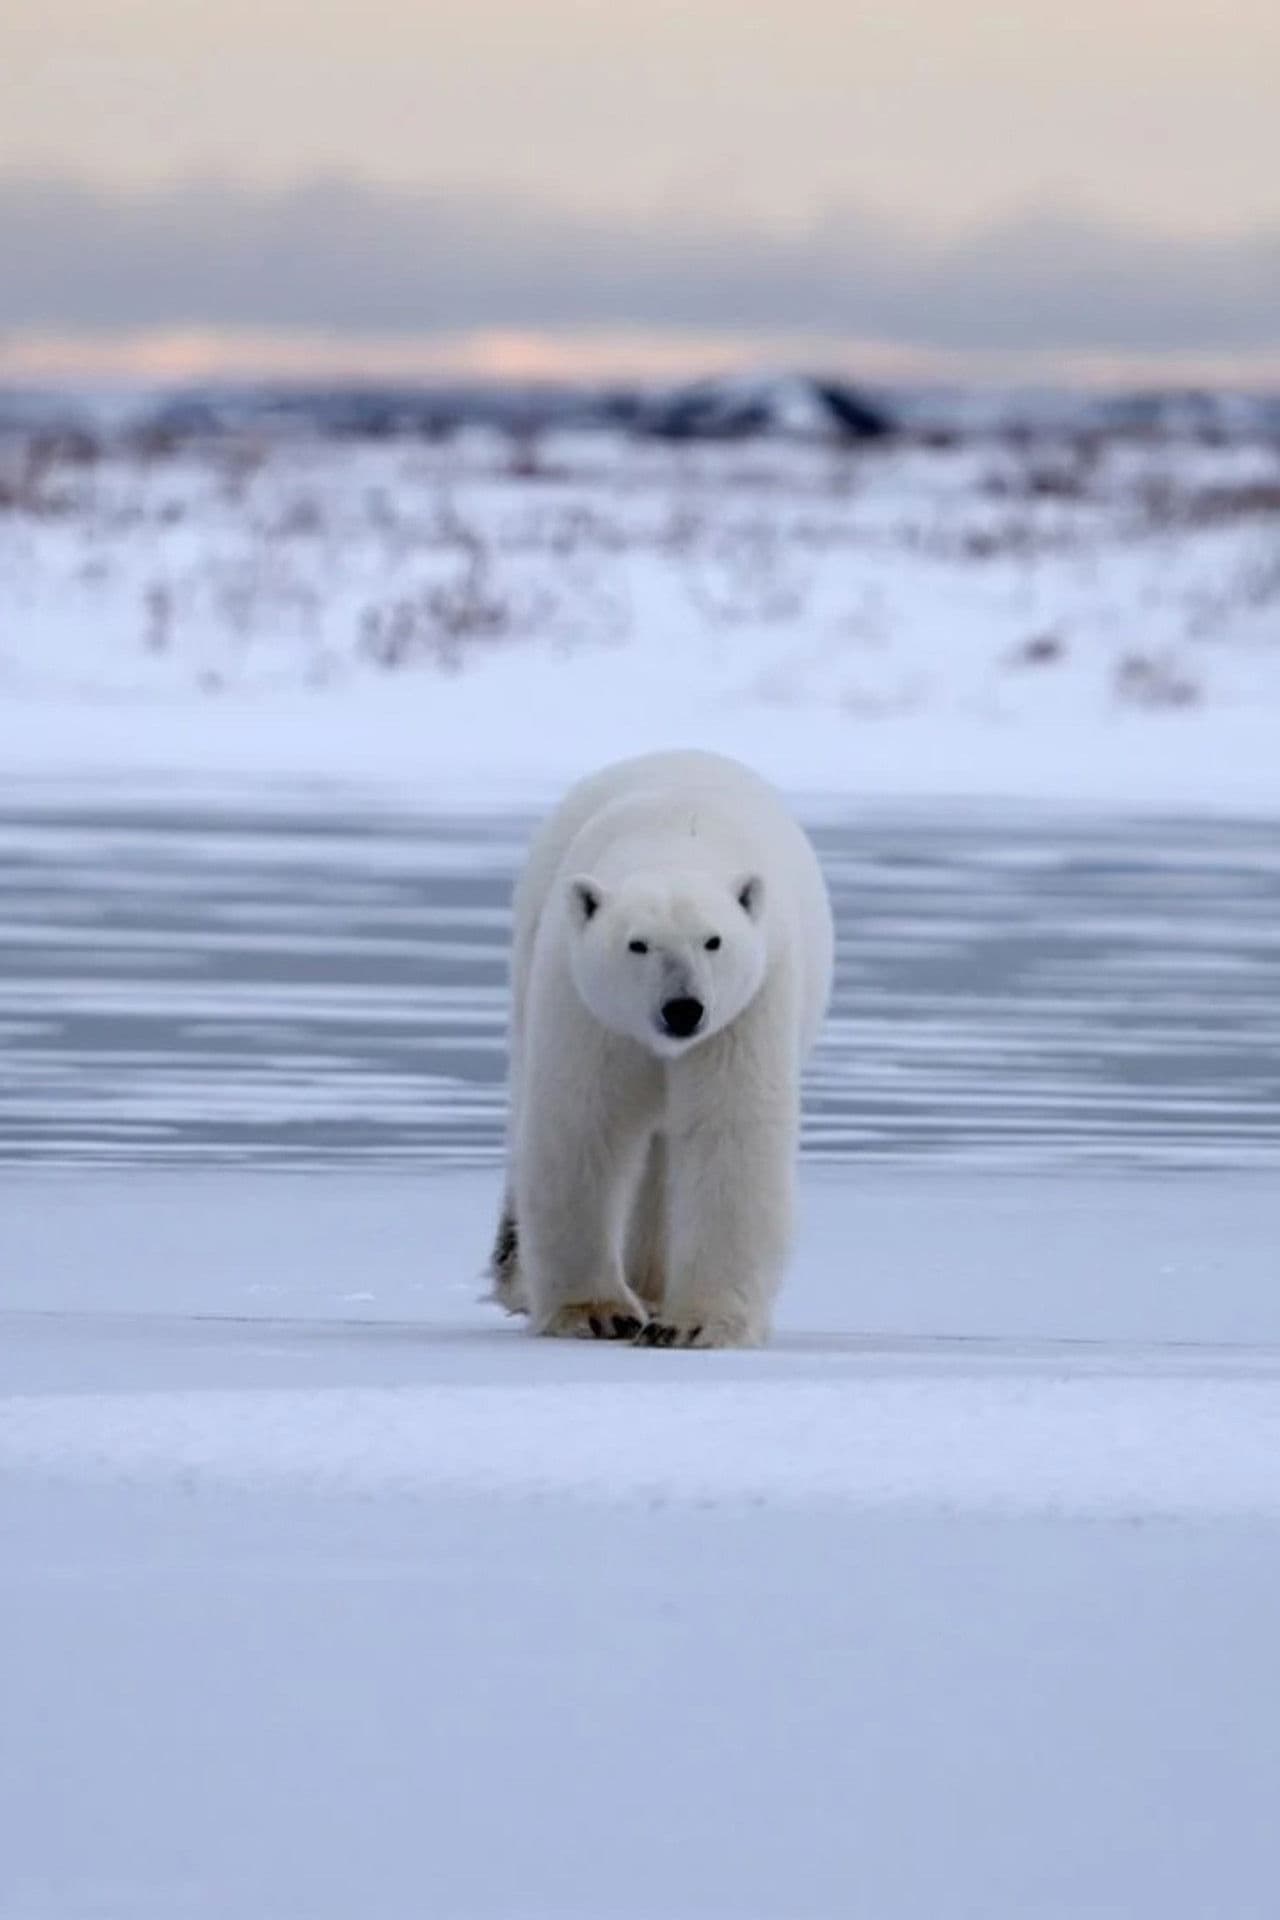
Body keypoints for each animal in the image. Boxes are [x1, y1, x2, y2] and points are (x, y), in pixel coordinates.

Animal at [487, 749, 834, 1348]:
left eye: (713, 940)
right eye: (638, 944)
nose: (683, 1008)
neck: (675, 838)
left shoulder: (745, 1010)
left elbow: (729, 1131)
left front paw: (696, 1323)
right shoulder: (587, 1003)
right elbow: (583, 1125)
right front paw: (595, 1312)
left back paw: (652, 1290)